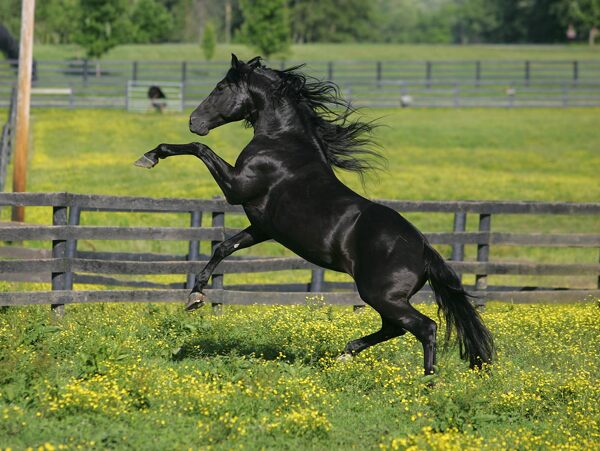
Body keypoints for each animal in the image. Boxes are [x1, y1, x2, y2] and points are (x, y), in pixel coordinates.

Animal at [135, 55, 492, 374]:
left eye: (221, 87)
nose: (194, 121)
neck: (282, 143)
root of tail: (424, 249)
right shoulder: (262, 227)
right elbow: (223, 247)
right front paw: (195, 295)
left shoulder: (236, 188)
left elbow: (199, 149)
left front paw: (150, 156)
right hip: (385, 298)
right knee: (395, 328)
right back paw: (346, 353)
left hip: (382, 295)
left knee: (424, 327)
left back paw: (428, 382)